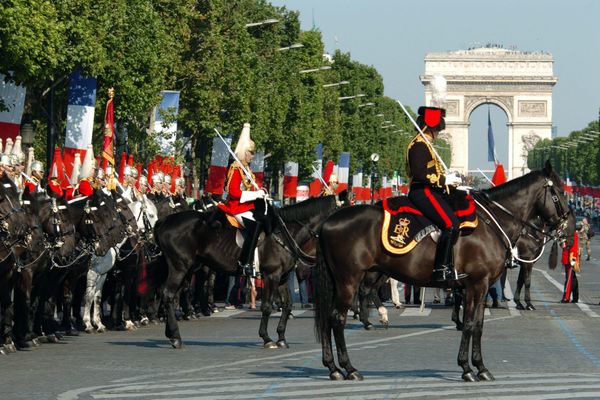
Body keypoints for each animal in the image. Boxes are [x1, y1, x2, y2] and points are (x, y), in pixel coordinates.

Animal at [82, 191, 158, 332]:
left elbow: (109, 296)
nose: (154, 239)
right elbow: (124, 294)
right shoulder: (124, 273)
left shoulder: (113, 274)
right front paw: (127, 321)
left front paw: (109, 322)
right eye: (151, 215)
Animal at [155, 195, 338, 348]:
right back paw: (176, 337)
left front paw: (281, 338)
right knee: (169, 294)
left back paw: (170, 333)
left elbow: (287, 305)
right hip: (180, 267)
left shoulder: (283, 277)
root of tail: (165, 220)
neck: (285, 233)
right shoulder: (271, 276)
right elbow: (266, 306)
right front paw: (267, 338)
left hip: (186, 269)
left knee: (170, 294)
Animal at [314, 163, 572, 382]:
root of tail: (327, 222)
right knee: (338, 318)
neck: (493, 223)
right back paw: (349, 368)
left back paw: (333, 367)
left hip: (343, 280)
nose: (570, 228)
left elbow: (478, 324)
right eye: (560, 192)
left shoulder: (480, 285)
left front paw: (480, 367)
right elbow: (470, 324)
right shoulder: (477, 284)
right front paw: (467, 368)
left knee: (329, 317)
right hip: (349, 279)